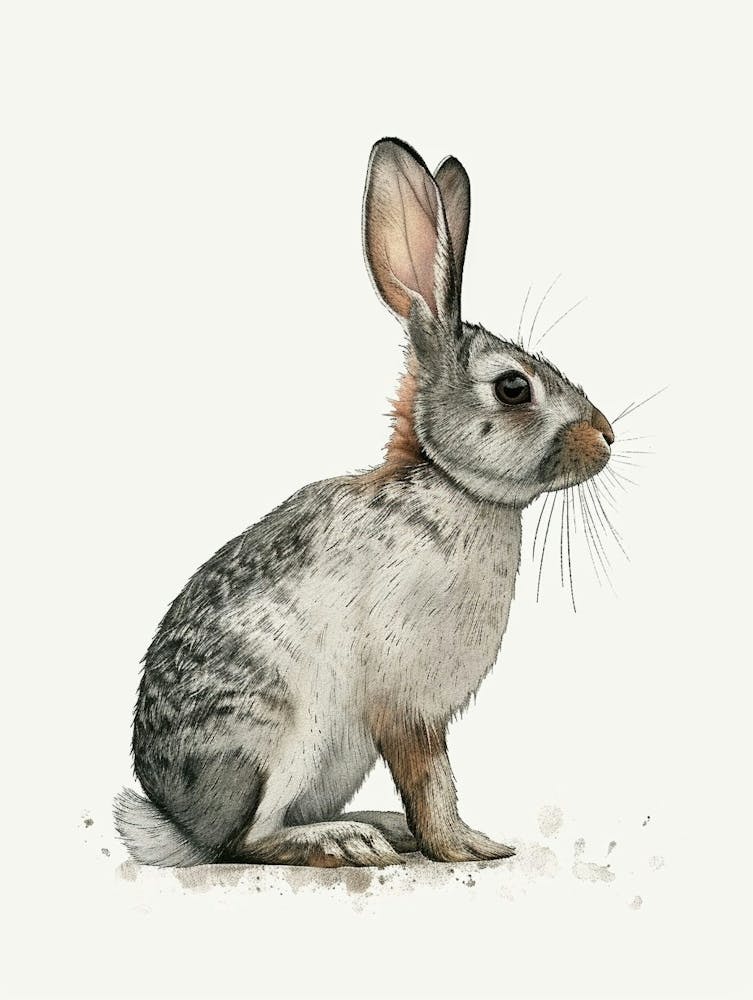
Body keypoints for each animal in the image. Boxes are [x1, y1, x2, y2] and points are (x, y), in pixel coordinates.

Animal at [114, 138, 615, 868]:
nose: (607, 437)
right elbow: (432, 779)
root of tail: (180, 826)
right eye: (514, 388)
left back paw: (377, 825)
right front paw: (464, 848)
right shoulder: (403, 702)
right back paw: (345, 842)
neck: (450, 484)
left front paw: (466, 842)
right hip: (275, 738)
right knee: (247, 841)